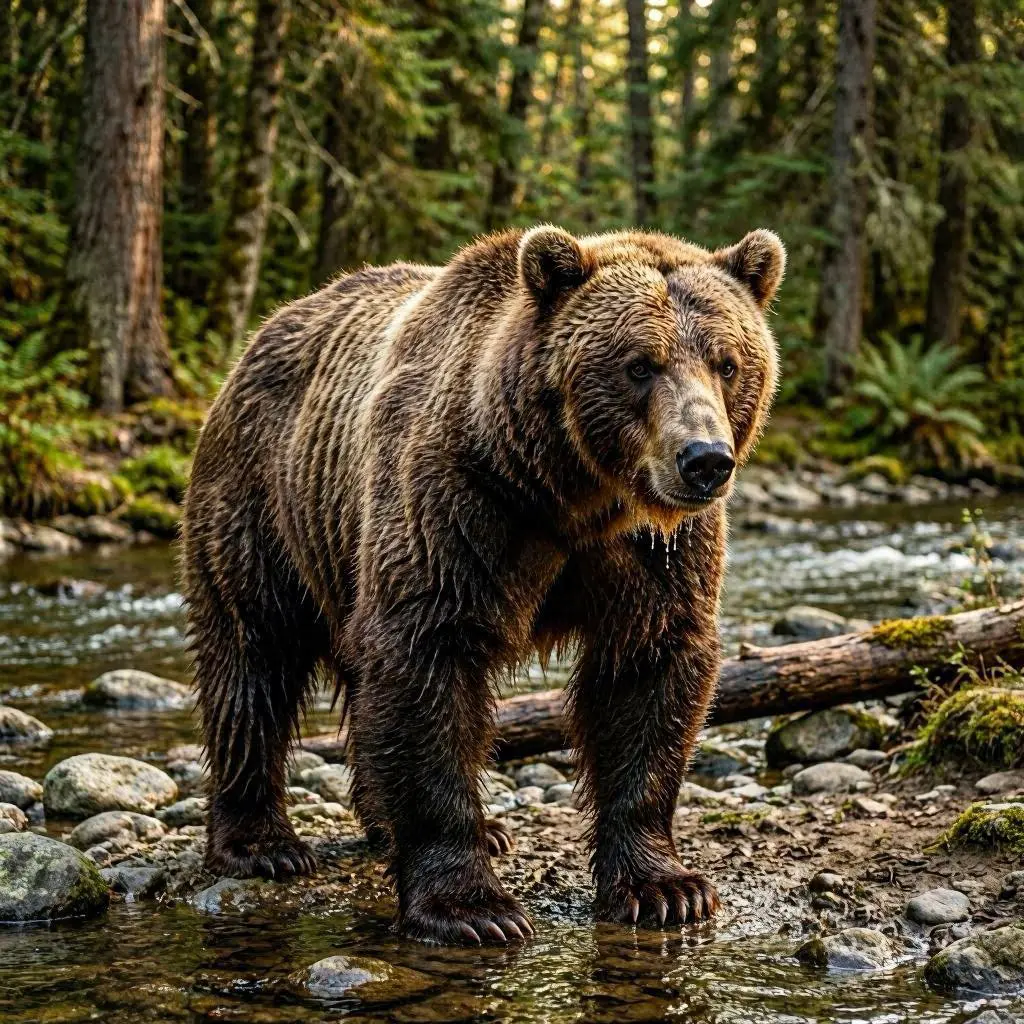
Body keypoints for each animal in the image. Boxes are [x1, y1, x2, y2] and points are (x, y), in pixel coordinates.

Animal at [181, 224, 785, 944]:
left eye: (728, 363)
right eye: (641, 364)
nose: (704, 460)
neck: (572, 496)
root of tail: (263, 333)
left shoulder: (654, 549)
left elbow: (649, 670)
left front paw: (665, 887)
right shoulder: (458, 504)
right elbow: (426, 662)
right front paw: (472, 907)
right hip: (264, 500)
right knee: (252, 655)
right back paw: (262, 843)